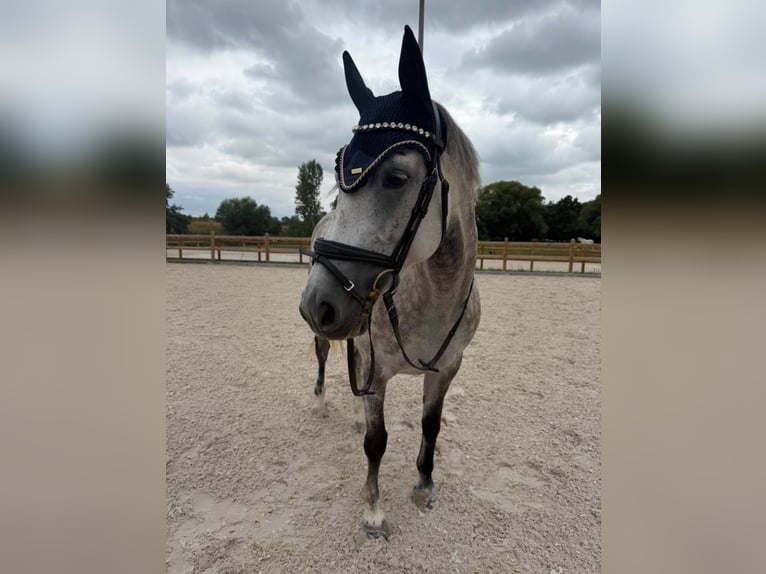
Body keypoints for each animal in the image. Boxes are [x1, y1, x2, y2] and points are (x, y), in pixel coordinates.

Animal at [298, 25, 481, 537]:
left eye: (396, 177)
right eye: (338, 173)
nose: (316, 304)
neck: (435, 296)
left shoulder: (446, 369)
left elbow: (429, 426)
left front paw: (424, 487)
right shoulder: (379, 371)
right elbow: (376, 442)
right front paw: (374, 511)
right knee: (326, 358)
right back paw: (323, 402)